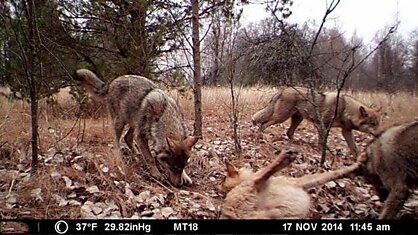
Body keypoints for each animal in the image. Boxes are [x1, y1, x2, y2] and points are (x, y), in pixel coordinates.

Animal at [220, 149, 364, 218]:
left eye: (223, 180)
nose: (221, 188)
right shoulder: (297, 181)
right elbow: (327, 175)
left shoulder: (299, 182)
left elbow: (330, 174)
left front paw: (355, 169)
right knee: (262, 176)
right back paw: (286, 156)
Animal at [251, 86, 382, 156]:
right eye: (373, 124)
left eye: (378, 124)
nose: (380, 134)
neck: (345, 108)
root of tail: (283, 90)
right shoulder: (322, 125)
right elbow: (322, 141)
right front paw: (322, 151)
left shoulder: (346, 131)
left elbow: (354, 148)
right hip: (281, 118)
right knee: (264, 124)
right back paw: (263, 137)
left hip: (297, 119)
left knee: (289, 132)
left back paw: (295, 143)